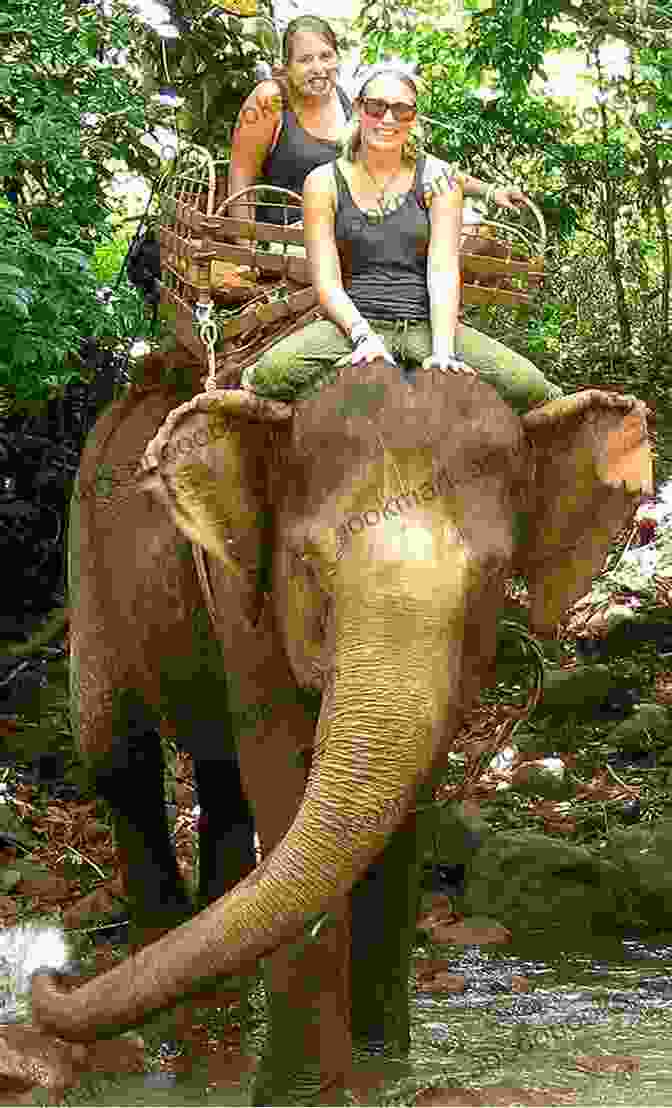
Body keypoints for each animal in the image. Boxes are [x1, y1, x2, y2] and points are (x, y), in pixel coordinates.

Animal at [30, 347, 652, 1108]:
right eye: (308, 568)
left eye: (492, 577)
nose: (51, 976)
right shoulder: (244, 601)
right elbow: (280, 772)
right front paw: (299, 1095)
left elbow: (404, 802)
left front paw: (384, 1076)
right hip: (87, 559)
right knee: (122, 759)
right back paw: (181, 1042)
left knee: (220, 779)